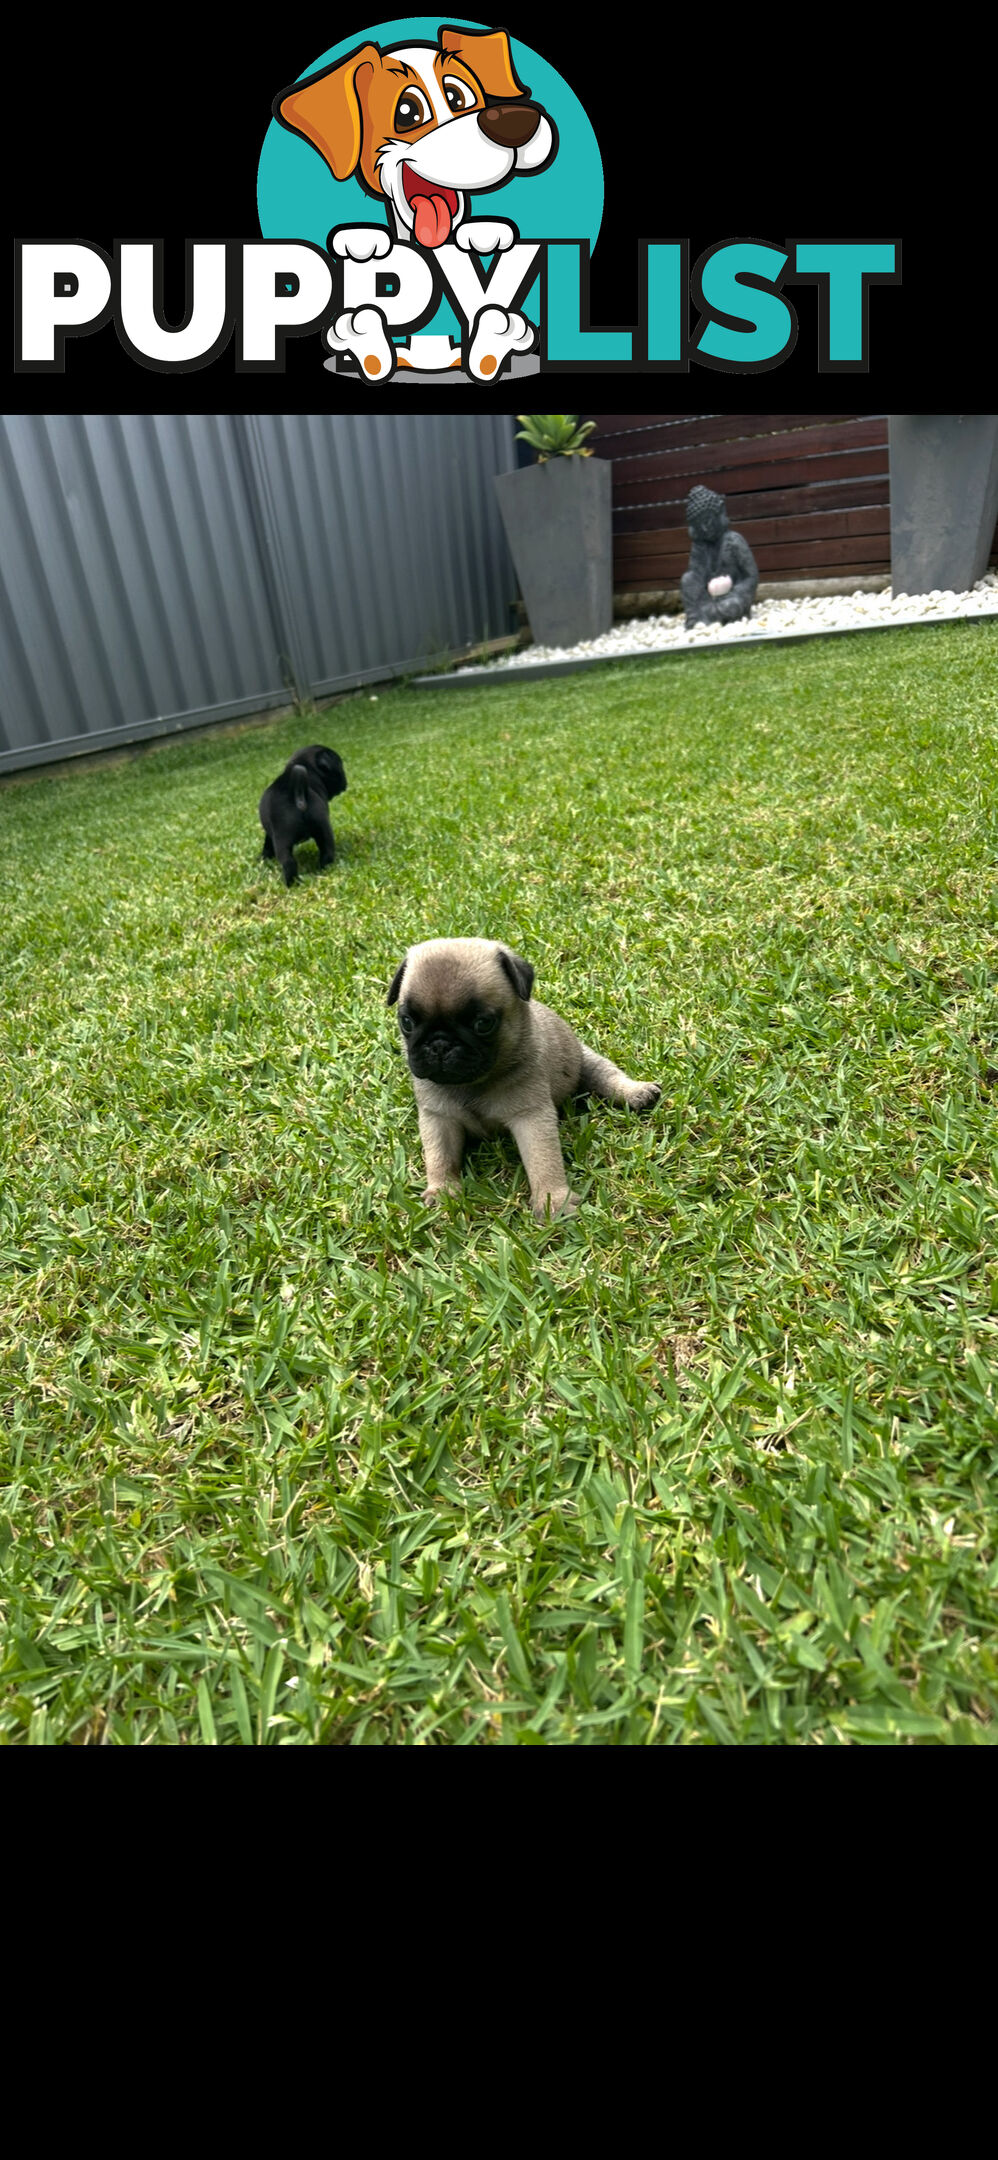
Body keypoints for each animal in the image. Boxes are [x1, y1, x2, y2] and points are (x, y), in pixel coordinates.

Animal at [257, 743, 347, 876]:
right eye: (339, 766)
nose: (345, 780)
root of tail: (298, 793)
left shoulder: (270, 834)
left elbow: (267, 845)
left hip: (283, 838)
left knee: (288, 862)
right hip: (322, 829)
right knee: (326, 852)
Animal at [388, 941, 661, 1226]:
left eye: (483, 1024)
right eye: (406, 1022)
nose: (440, 1044)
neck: (472, 1084)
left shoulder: (531, 1117)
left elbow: (543, 1162)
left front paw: (553, 1200)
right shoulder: (438, 1118)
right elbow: (440, 1157)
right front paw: (442, 1191)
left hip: (586, 1061)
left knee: (606, 1074)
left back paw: (635, 1092)